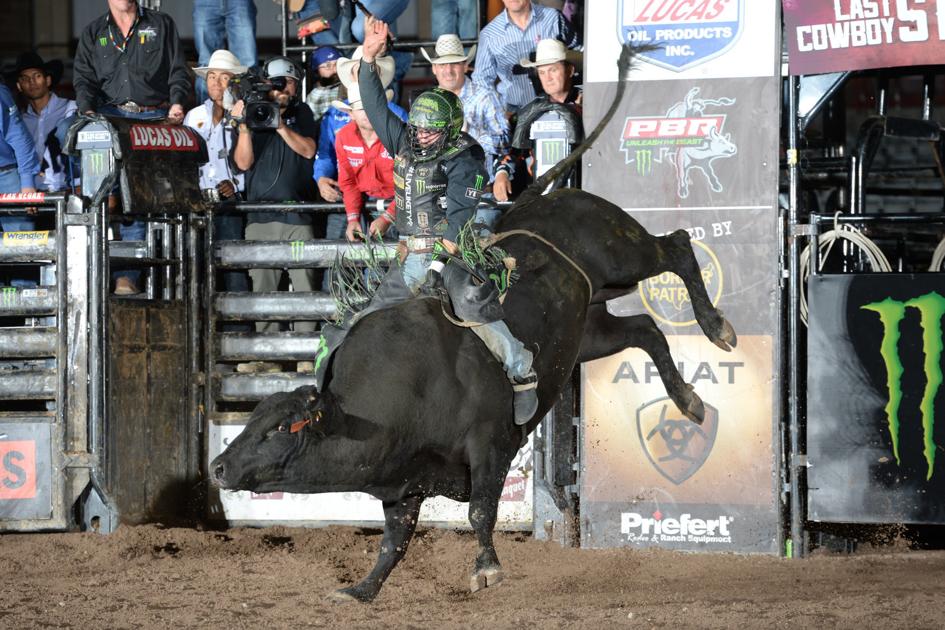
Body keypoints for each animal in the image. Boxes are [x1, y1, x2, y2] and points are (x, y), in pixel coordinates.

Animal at [208, 44, 736, 604]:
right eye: (252, 421)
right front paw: (361, 590)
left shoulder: (491, 446)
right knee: (644, 330)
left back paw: (717, 328)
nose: (218, 467)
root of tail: (549, 195)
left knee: (677, 246)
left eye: (279, 429)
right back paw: (689, 401)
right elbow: (394, 542)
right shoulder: (404, 485)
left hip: (621, 255)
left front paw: (485, 568)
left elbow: (481, 511)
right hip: (588, 331)